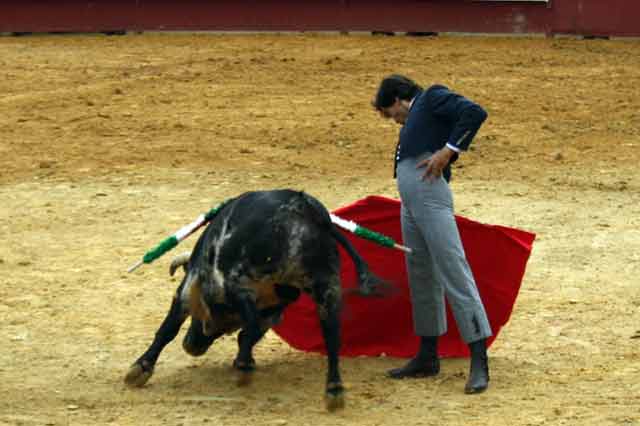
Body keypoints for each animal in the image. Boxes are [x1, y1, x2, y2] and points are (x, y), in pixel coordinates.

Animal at [125, 189, 384, 410]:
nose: (191, 345)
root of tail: (304, 207)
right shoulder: (276, 306)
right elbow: (248, 333)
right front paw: (246, 359)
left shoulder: (189, 288)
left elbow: (168, 329)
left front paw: (139, 369)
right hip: (326, 285)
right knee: (332, 335)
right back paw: (334, 390)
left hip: (240, 277)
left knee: (249, 319)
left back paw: (244, 369)